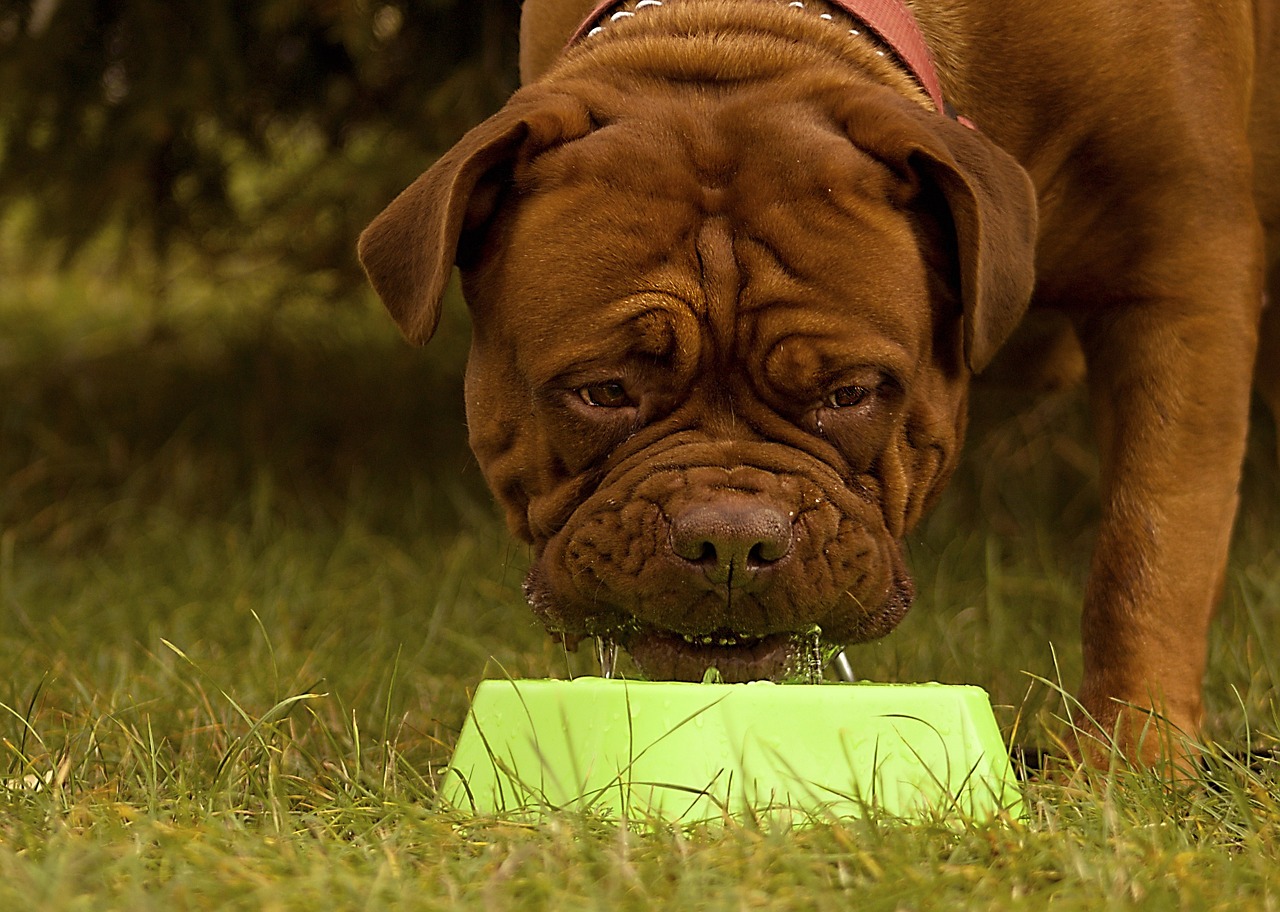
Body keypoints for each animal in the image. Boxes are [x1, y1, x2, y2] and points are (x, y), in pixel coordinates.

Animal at [363, 0, 1280, 763]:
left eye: (849, 393)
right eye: (604, 391)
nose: (731, 540)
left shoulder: (1181, 272)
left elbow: (1151, 539)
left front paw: (1128, 761)